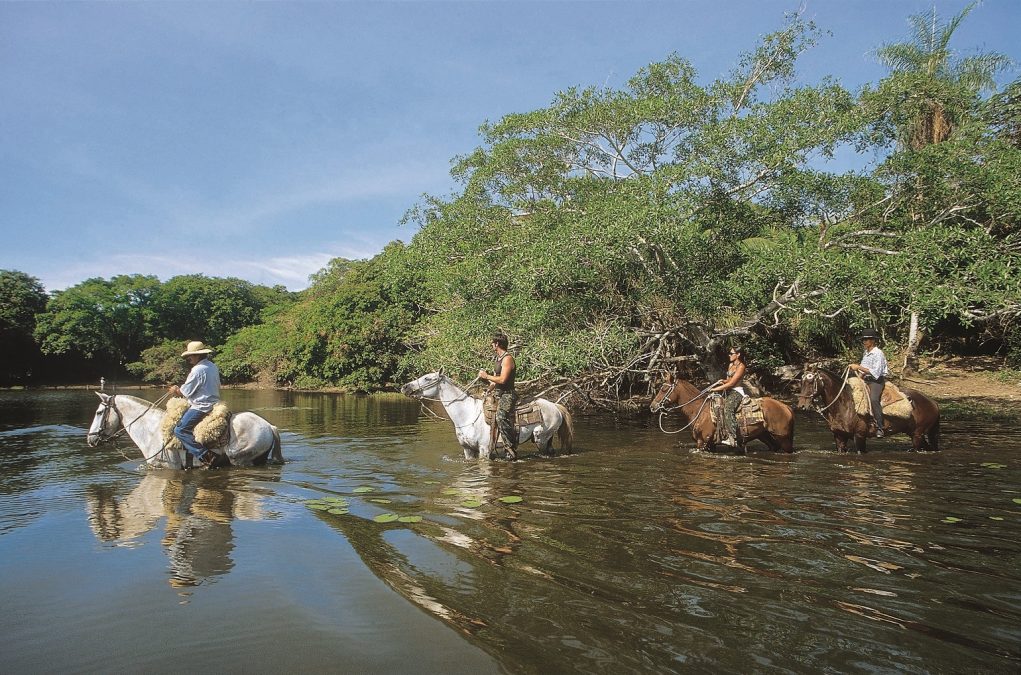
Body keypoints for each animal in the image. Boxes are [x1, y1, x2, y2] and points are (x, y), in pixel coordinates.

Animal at [400, 367, 575, 457]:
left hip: (541, 439)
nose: (404, 387)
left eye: (427, 378)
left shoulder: (484, 449)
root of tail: (555, 406)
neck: (466, 415)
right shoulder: (468, 450)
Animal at [653, 373, 796, 453]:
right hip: (764, 435)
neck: (699, 410)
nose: (652, 406)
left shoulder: (702, 442)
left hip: (783, 438)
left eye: (663, 389)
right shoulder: (710, 444)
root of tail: (786, 407)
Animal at [796, 365, 939, 449]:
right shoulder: (839, 437)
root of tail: (933, 402)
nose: (801, 406)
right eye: (801, 382)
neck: (845, 404)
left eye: (811, 382)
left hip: (917, 435)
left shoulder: (859, 436)